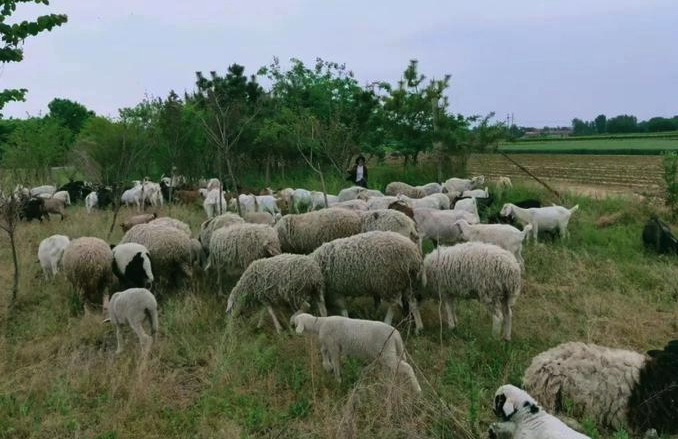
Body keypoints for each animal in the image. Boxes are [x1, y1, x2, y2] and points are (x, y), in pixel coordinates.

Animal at [294, 314, 422, 394]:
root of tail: (396, 334)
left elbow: (335, 362)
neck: (320, 324)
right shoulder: (329, 344)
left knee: (407, 367)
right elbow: (323, 351)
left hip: (387, 353)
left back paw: (417, 389)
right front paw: (327, 366)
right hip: (389, 352)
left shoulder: (333, 346)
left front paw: (338, 380)